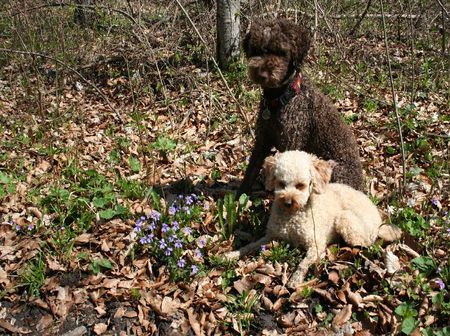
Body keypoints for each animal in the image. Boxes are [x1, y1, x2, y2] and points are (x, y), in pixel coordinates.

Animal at [229, 151, 400, 288]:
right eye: (281, 183)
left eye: (300, 185)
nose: (288, 202)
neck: (292, 216)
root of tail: (379, 220)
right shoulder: (271, 236)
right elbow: (249, 246)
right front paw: (231, 255)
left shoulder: (315, 244)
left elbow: (303, 263)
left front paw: (295, 280)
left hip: (345, 220)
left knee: (365, 243)